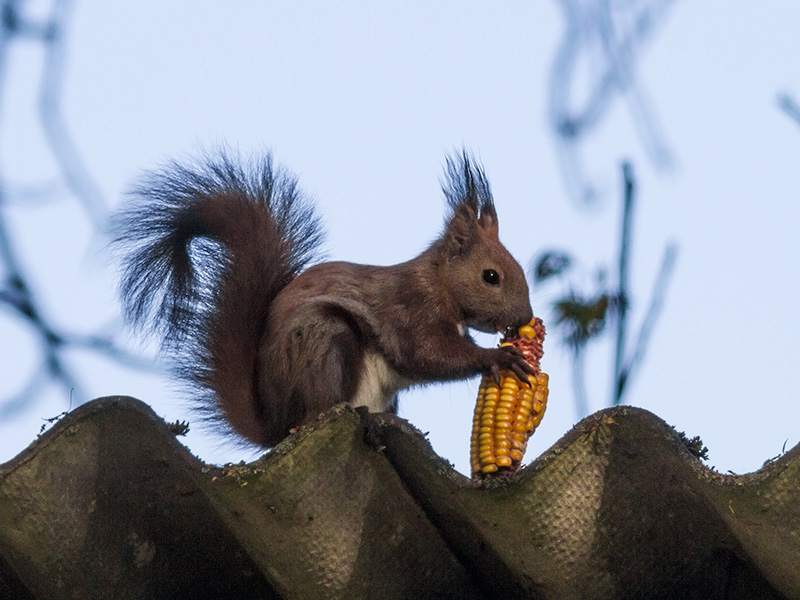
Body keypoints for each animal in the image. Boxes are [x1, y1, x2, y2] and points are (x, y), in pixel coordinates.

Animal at [112, 150, 536, 446]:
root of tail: (278, 426)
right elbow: (427, 354)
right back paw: (375, 418)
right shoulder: (410, 310)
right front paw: (498, 357)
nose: (523, 318)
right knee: (324, 407)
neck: (439, 283)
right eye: (491, 277)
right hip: (325, 343)